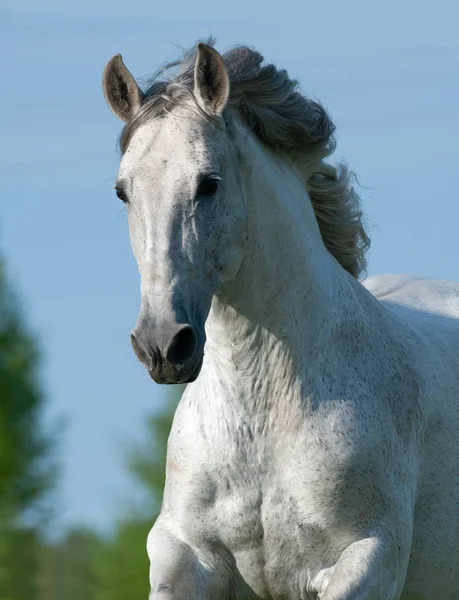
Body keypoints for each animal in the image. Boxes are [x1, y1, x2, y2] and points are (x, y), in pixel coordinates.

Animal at [102, 41, 459, 600]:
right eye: (123, 191)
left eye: (209, 184)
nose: (162, 346)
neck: (260, 420)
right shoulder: (184, 554)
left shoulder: (368, 559)